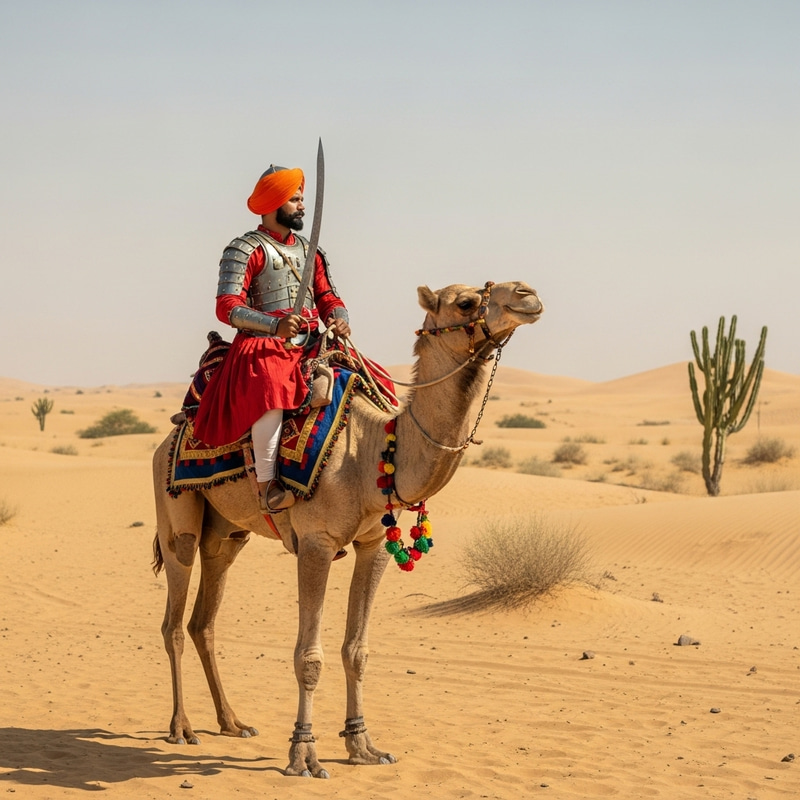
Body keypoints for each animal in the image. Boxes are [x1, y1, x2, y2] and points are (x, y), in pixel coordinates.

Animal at [151, 280, 543, 778]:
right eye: (466, 302)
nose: (528, 295)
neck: (367, 452)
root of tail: (173, 432)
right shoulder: (316, 544)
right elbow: (308, 656)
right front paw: (303, 755)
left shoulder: (373, 543)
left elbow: (356, 651)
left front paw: (364, 746)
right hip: (176, 515)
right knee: (174, 621)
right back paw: (182, 728)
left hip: (225, 535)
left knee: (204, 622)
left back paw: (233, 723)